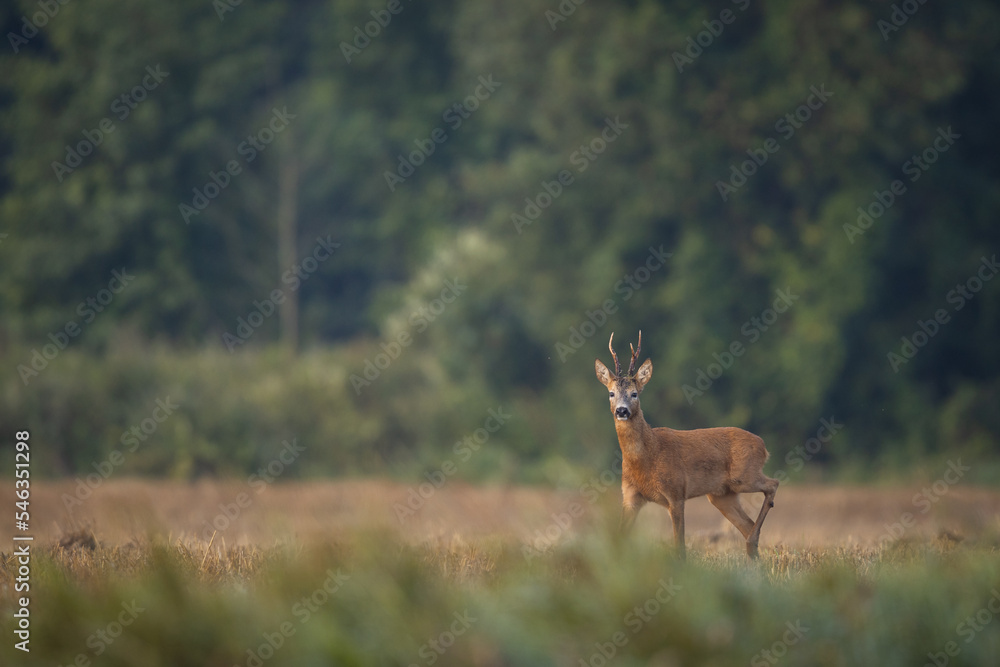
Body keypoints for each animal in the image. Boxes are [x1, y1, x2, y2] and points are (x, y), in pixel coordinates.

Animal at [594, 331, 778, 559]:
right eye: (611, 393)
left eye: (634, 393)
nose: (621, 411)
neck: (648, 456)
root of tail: (763, 446)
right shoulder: (630, 496)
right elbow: (619, 539)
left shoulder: (676, 492)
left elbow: (679, 545)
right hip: (722, 495)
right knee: (747, 524)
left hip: (744, 476)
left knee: (773, 484)